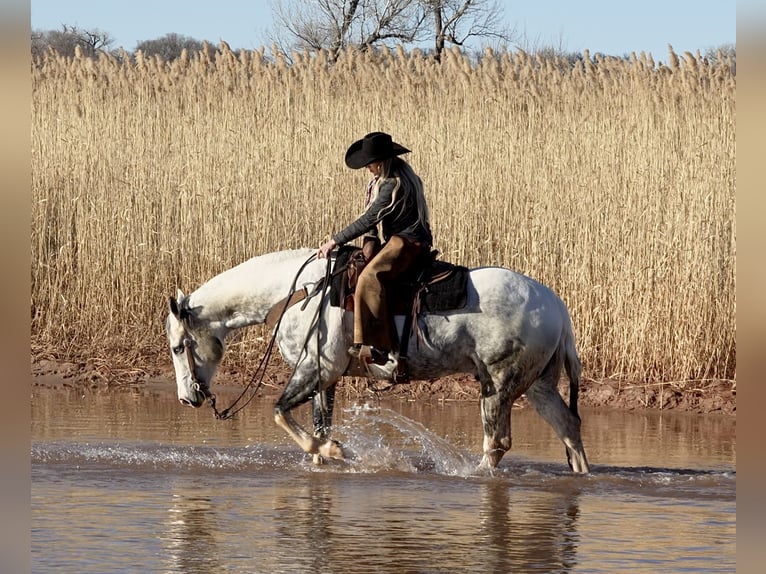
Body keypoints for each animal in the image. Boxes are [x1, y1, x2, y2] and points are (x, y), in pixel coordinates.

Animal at [165, 248, 592, 472]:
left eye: (177, 347)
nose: (187, 398)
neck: (296, 292)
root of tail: (556, 307)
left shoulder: (314, 369)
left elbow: (280, 412)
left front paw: (337, 451)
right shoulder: (326, 378)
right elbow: (317, 426)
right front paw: (324, 456)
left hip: (497, 385)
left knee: (497, 442)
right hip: (538, 386)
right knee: (568, 426)